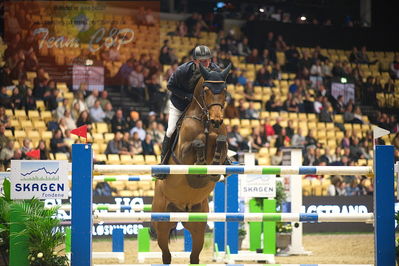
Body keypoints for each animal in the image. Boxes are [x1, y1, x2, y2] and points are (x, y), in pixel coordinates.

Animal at [152, 62, 231, 264]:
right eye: (206, 90)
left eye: (224, 90)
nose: (216, 120)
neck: (204, 120)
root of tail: (181, 210)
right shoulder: (182, 154)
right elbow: (198, 143)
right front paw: (201, 160)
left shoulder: (220, 138)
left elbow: (220, 141)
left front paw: (214, 164)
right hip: (162, 224)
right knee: (166, 254)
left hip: (197, 225)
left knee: (194, 256)